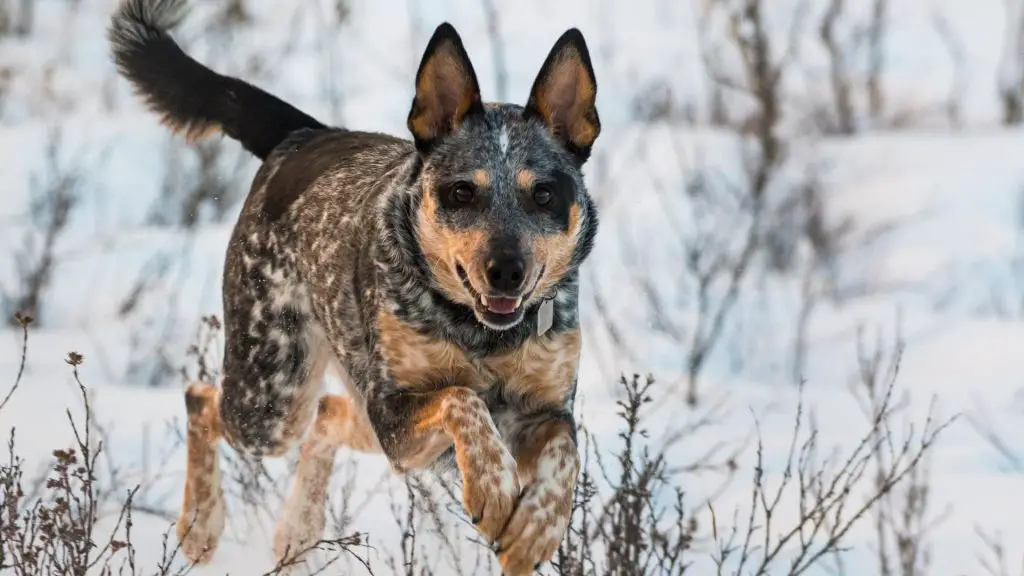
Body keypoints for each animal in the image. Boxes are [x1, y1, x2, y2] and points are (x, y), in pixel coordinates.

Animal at [108, 1, 598, 569]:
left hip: (339, 402)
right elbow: (462, 399)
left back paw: (297, 528)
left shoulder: (547, 408)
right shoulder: (392, 411)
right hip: (272, 399)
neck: (483, 335)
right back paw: (200, 526)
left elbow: (566, 453)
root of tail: (305, 134)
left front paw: (536, 530)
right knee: (202, 398)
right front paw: (494, 489)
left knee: (328, 412)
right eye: (461, 193)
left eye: (543, 194)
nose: (506, 270)